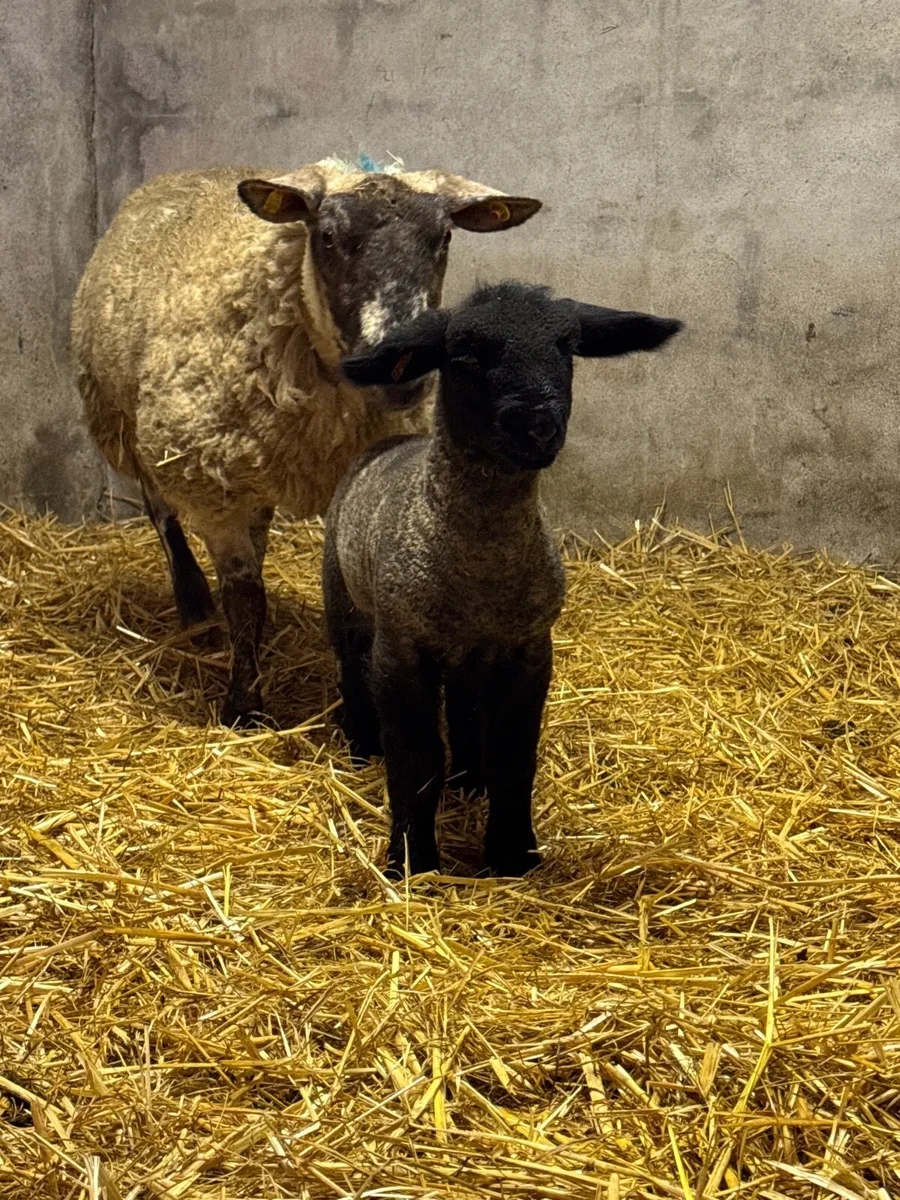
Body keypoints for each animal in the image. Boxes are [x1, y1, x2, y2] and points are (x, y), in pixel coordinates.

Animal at [71, 158, 542, 726]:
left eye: (444, 237)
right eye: (330, 237)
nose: (403, 371)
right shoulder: (209, 479)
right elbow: (244, 598)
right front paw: (243, 708)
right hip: (126, 419)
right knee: (159, 509)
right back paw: (195, 606)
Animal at [323, 281, 683, 877]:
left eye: (567, 347)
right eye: (466, 354)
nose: (537, 424)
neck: (481, 569)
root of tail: (392, 444)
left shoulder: (528, 649)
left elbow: (514, 755)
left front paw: (514, 854)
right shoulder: (401, 650)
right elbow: (415, 759)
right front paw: (411, 860)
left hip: (469, 657)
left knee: (467, 713)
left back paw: (470, 783)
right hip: (345, 603)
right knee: (352, 673)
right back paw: (361, 750)